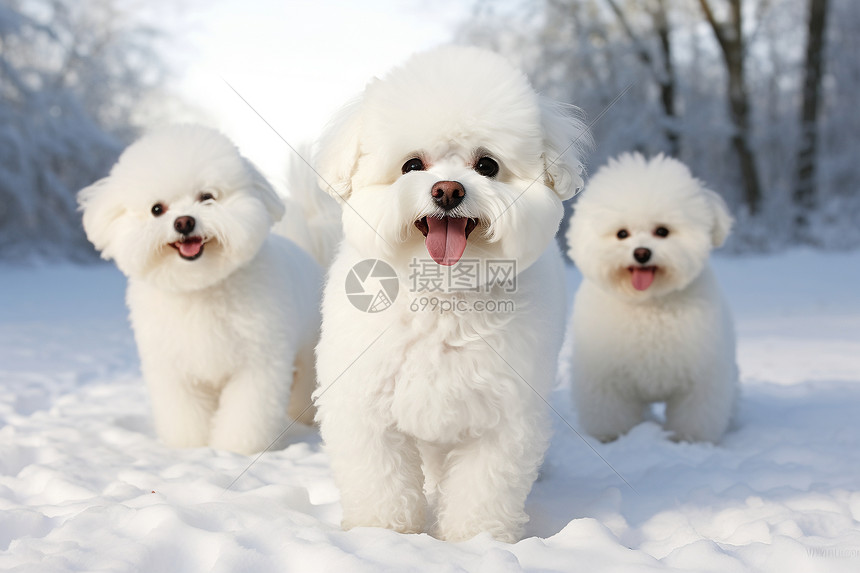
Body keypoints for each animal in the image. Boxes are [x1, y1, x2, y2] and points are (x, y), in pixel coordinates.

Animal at [77, 126, 324, 456]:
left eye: (207, 197)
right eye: (157, 209)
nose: (184, 222)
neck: (199, 288)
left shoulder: (257, 364)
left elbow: (247, 413)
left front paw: (235, 450)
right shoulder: (175, 369)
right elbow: (185, 415)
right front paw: (190, 448)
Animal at [316, 47, 592, 544]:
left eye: (487, 165)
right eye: (411, 165)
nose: (448, 190)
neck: (443, 295)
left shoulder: (503, 416)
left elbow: (482, 487)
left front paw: (474, 540)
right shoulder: (366, 405)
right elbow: (380, 479)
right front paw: (382, 534)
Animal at [564, 152, 740, 442]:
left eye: (662, 231)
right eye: (622, 234)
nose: (642, 253)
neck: (648, 304)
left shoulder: (699, 377)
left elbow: (695, 415)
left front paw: (689, 441)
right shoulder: (607, 380)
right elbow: (611, 414)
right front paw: (614, 438)